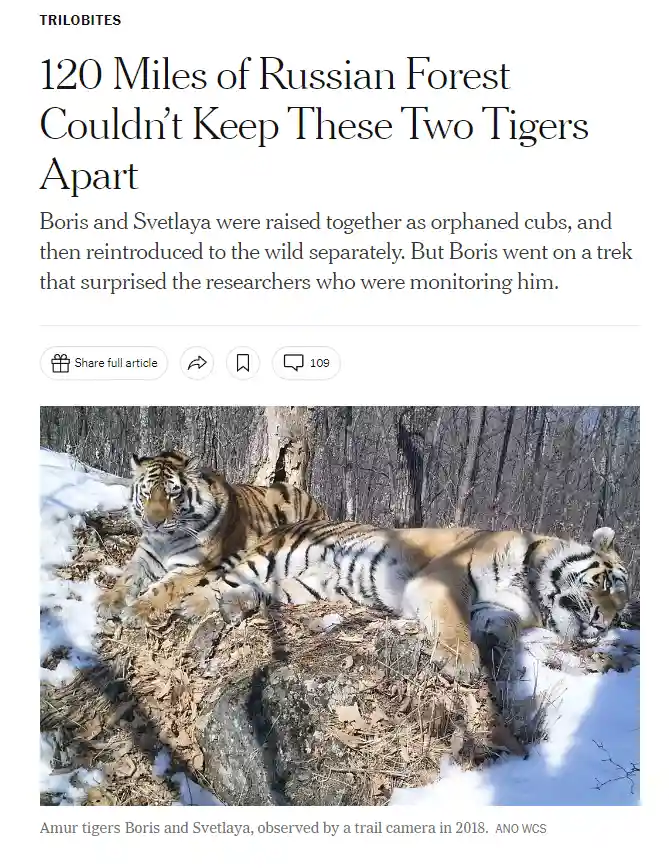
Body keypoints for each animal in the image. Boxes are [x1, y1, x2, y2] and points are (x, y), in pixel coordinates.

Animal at [99, 449, 327, 622]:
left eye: (173, 493)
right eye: (146, 493)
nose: (154, 522)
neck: (166, 540)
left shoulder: (192, 567)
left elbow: (163, 589)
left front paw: (137, 610)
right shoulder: (144, 557)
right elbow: (126, 578)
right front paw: (107, 601)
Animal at [173, 520, 630, 683]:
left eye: (622, 610)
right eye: (608, 583)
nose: (603, 624)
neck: (531, 591)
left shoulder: (497, 609)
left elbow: (502, 628)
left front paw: (500, 655)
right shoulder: (443, 580)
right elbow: (453, 622)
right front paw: (461, 662)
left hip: (301, 586)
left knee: (255, 592)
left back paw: (235, 606)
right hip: (270, 558)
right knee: (213, 583)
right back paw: (191, 607)